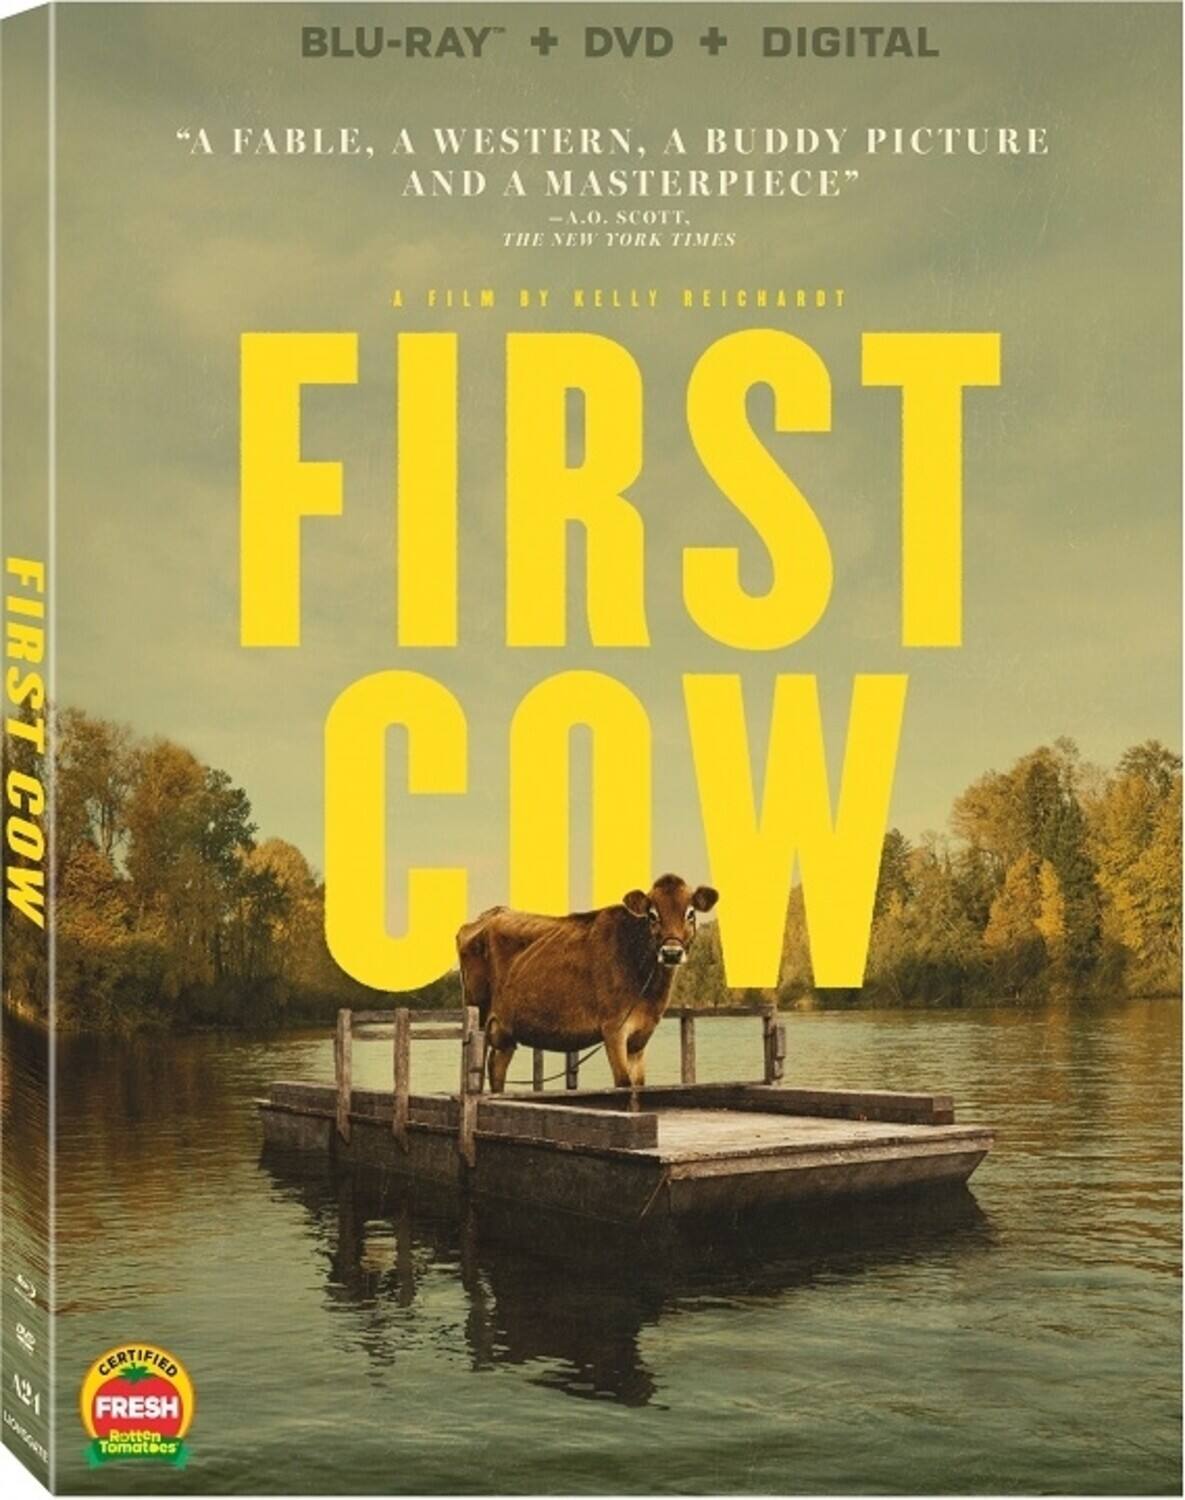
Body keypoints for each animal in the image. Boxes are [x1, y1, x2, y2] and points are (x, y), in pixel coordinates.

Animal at [455, 874, 719, 1092]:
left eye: (690, 913)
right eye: (652, 915)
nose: (671, 953)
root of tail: (489, 915)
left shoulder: (641, 1036)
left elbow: (639, 1084)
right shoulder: (614, 1029)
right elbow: (623, 1083)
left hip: (506, 1029)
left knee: (497, 1066)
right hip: (479, 1014)